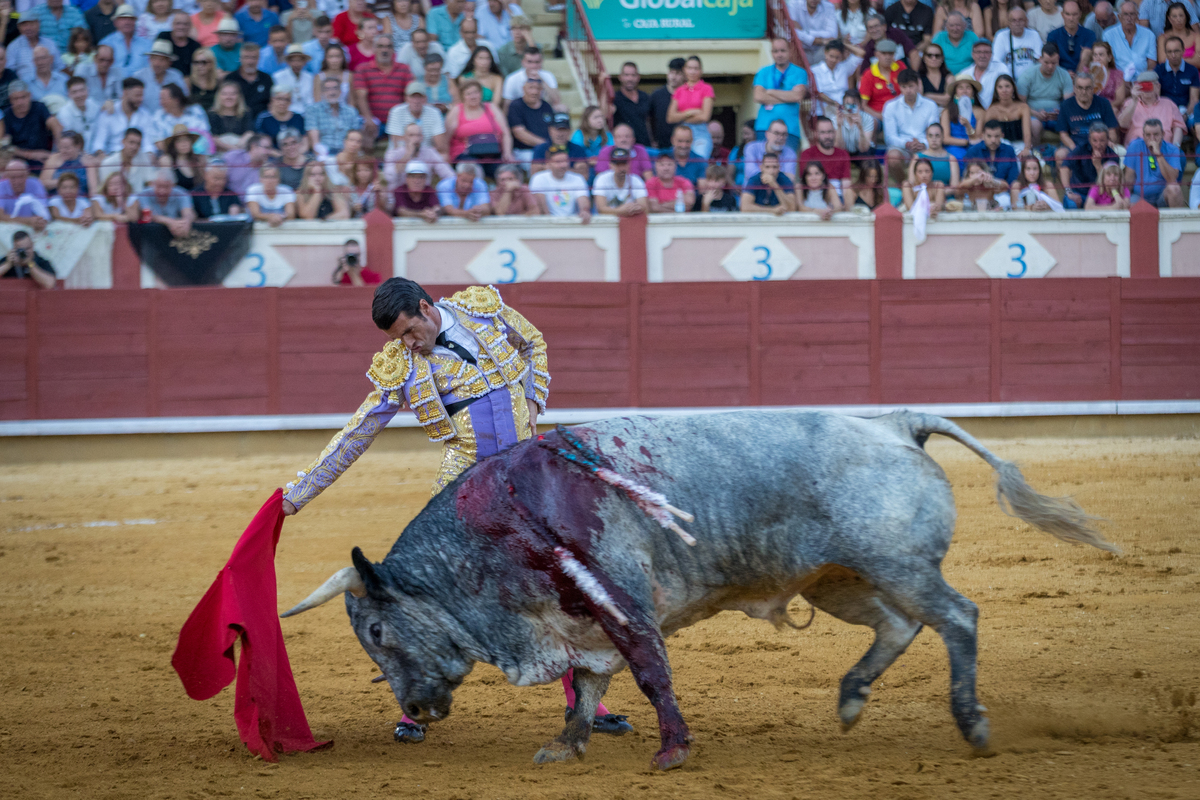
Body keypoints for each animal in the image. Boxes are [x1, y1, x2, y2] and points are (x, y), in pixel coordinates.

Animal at [283, 410, 1113, 772]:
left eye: (379, 633)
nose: (414, 709)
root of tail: (898, 423)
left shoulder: (623, 602)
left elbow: (650, 674)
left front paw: (672, 751)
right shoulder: (579, 619)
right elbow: (590, 684)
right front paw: (567, 744)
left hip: (900, 563)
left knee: (957, 618)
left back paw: (972, 724)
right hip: (843, 578)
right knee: (898, 627)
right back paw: (850, 698)